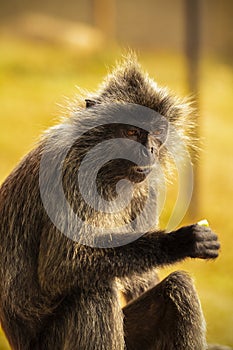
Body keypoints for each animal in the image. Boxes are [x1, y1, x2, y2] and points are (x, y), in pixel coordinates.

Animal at [0, 55, 223, 350]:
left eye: (157, 131)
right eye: (131, 131)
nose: (150, 150)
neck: (109, 172)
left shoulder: (146, 187)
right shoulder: (71, 171)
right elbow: (60, 266)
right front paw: (178, 242)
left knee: (178, 285)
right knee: (93, 290)